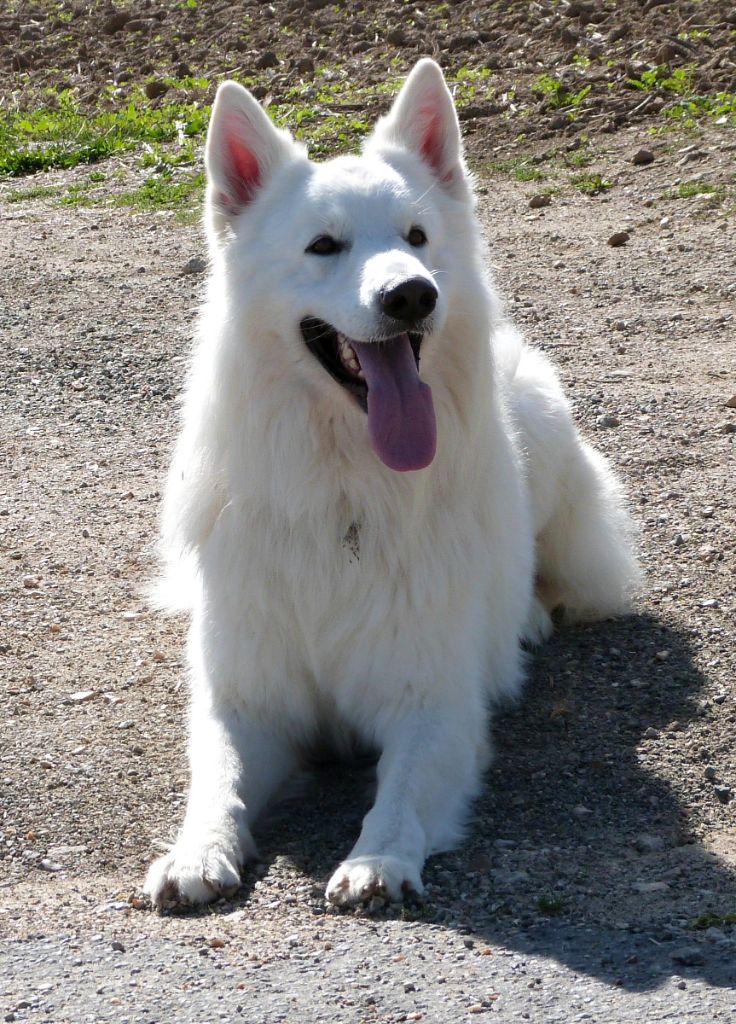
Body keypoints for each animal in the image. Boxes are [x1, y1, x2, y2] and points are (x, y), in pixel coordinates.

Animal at [145, 59, 638, 909]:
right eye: (323, 246)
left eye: (416, 238)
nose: (411, 294)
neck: (346, 491)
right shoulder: (247, 701)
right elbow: (217, 781)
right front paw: (195, 851)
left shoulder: (433, 704)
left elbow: (402, 792)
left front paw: (377, 861)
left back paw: (528, 619)